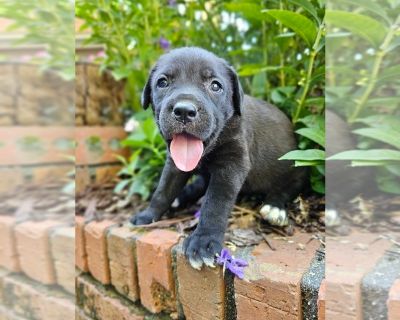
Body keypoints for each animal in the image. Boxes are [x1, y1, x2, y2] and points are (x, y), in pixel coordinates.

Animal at [130, 47, 304, 268]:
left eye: (215, 86)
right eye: (162, 82)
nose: (184, 111)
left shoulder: (232, 164)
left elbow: (215, 203)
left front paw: (203, 241)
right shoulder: (174, 164)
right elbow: (163, 190)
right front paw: (148, 214)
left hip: (295, 168)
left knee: (287, 187)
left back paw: (275, 208)